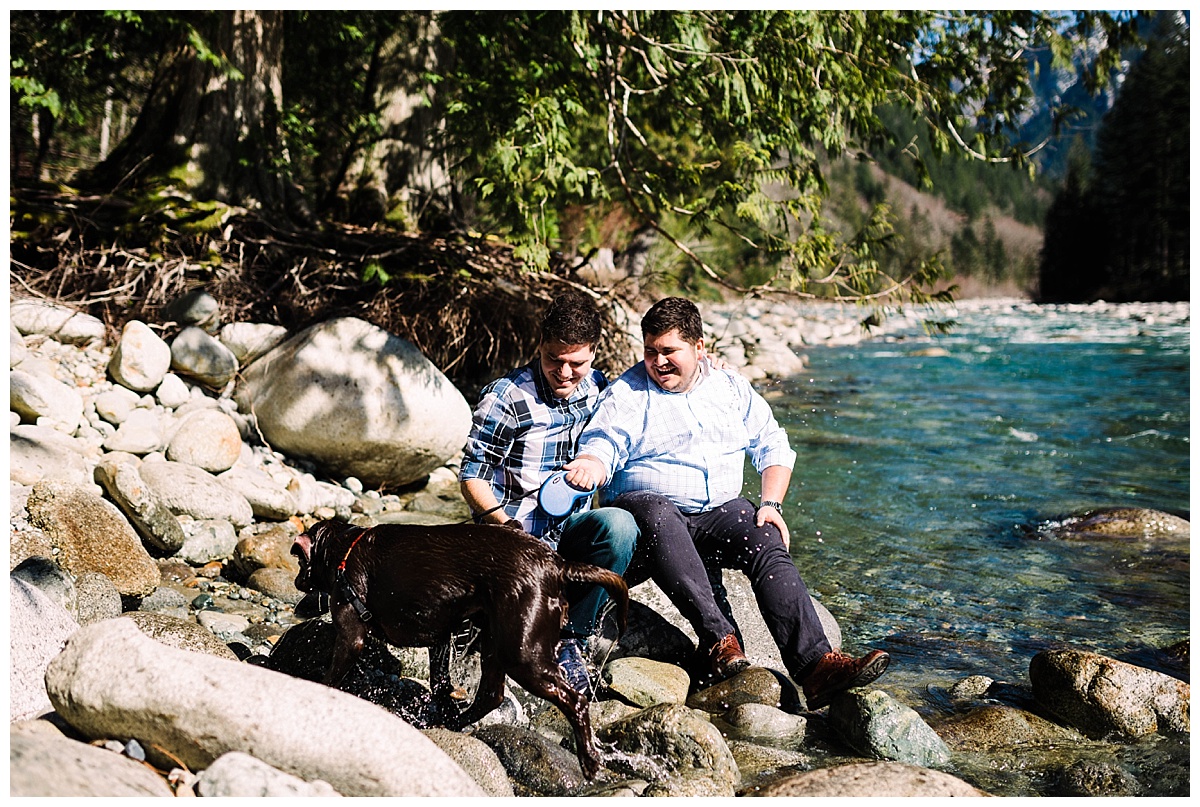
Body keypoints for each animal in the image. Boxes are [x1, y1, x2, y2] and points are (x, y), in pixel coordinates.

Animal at [290, 521, 628, 778]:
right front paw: (441, 710)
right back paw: (451, 723)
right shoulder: (439, 637)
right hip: (496, 640)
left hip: (522, 653)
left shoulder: (351, 635)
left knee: (575, 700)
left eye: (299, 561)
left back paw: (589, 760)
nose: (295, 581)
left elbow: (332, 676)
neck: (345, 551)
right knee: (491, 695)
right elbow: (441, 684)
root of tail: (557, 564)